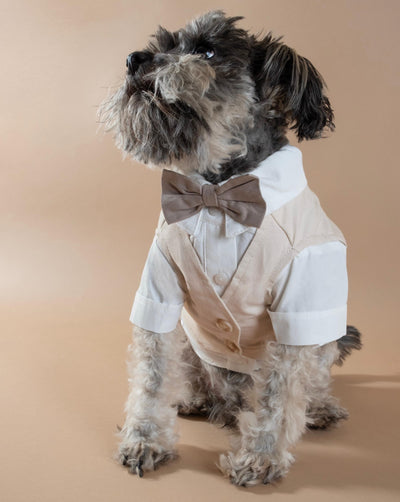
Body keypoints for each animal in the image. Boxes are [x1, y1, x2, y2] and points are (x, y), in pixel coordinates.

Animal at [98, 10, 360, 486]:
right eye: (165, 43)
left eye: (207, 51)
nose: (133, 59)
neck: (218, 191)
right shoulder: (160, 286)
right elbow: (151, 374)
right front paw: (144, 439)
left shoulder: (302, 299)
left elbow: (280, 393)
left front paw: (260, 457)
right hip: (191, 339)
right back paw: (195, 397)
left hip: (325, 338)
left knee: (311, 379)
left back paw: (320, 407)